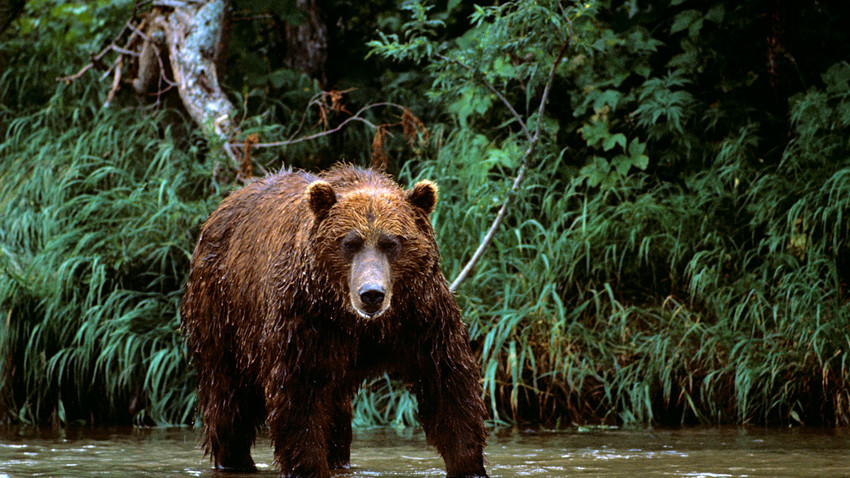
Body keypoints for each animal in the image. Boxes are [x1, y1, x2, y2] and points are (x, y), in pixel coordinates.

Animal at [181, 165, 484, 478]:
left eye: (391, 243)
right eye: (350, 243)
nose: (372, 294)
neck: (358, 322)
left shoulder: (420, 316)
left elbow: (447, 385)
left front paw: (468, 464)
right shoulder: (306, 319)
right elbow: (299, 396)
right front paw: (308, 466)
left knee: (335, 413)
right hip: (223, 314)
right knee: (229, 400)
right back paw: (235, 459)